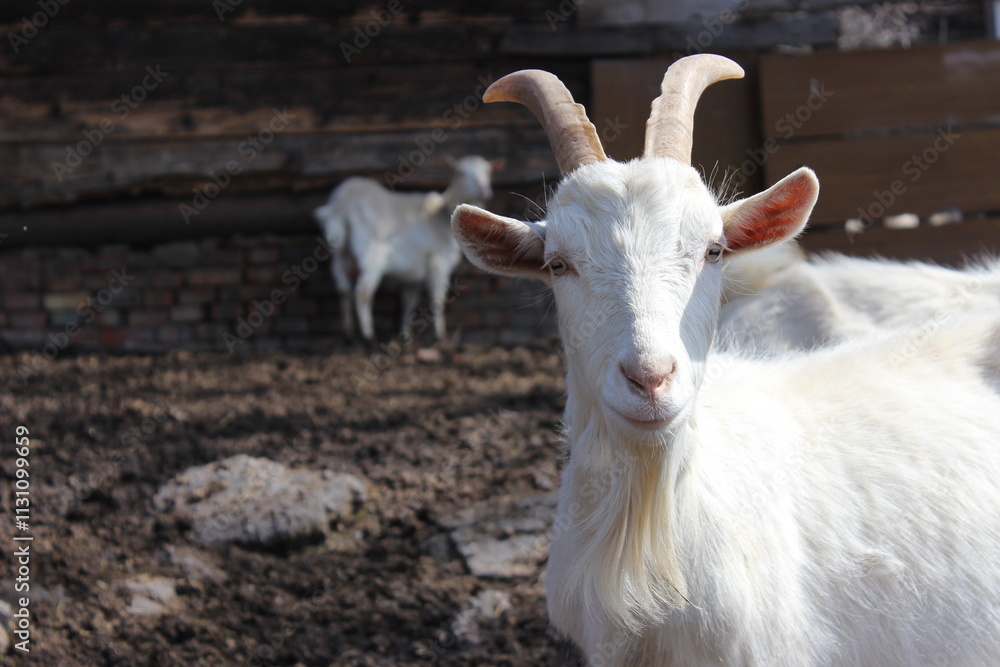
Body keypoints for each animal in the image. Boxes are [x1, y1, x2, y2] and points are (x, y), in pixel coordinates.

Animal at [314, 156, 494, 342]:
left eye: (488, 172)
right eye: (461, 172)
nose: (486, 191)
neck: (442, 217)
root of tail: (342, 204)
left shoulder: (412, 275)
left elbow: (409, 302)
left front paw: (405, 335)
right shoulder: (439, 261)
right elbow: (437, 299)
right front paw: (440, 336)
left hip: (340, 250)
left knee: (342, 287)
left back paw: (348, 333)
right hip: (371, 255)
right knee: (362, 293)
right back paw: (368, 335)